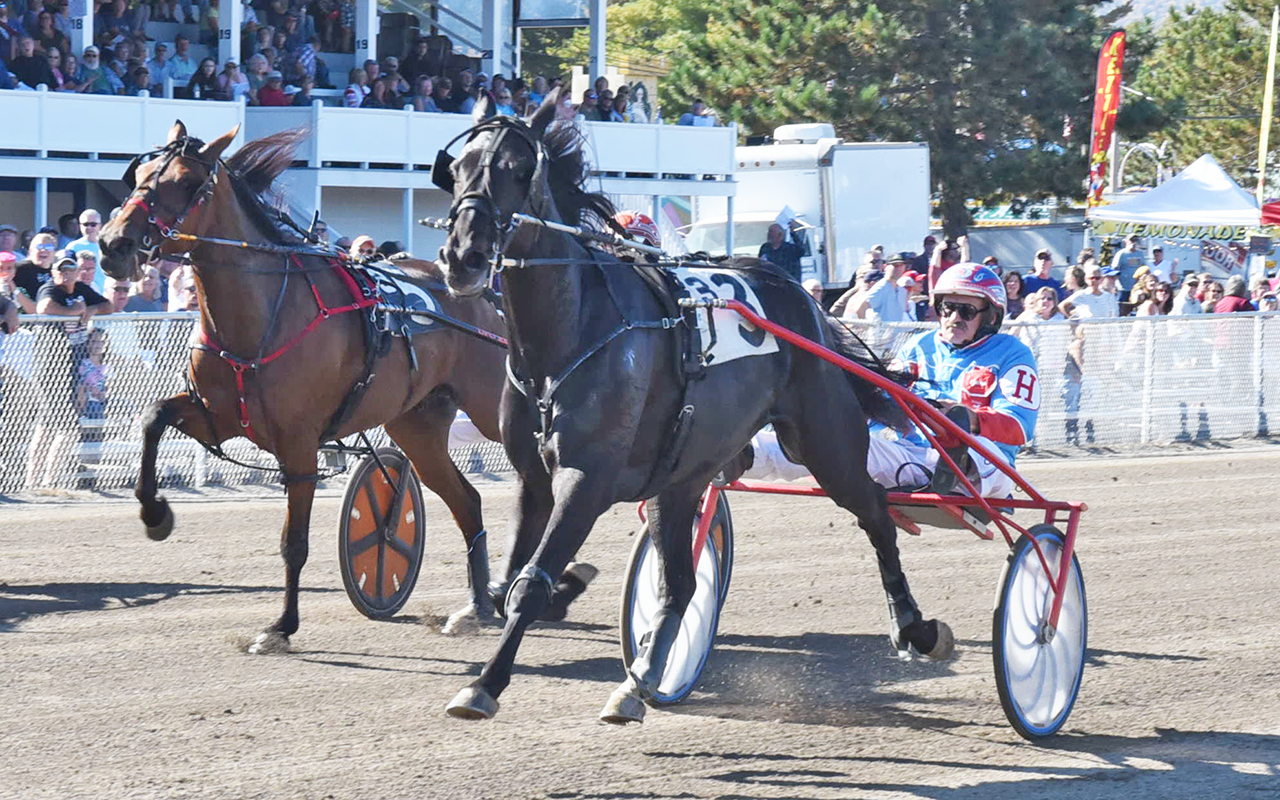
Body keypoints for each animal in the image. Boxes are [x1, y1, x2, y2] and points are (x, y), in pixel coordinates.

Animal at [96, 121, 576, 650]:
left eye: (184, 181)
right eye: (139, 175)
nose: (113, 244)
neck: (264, 312)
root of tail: (482, 292)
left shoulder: (299, 444)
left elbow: (294, 543)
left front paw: (281, 627)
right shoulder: (219, 417)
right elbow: (152, 417)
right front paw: (155, 514)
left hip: (495, 409)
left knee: (542, 481)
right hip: (418, 426)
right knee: (467, 501)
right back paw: (475, 606)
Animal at [437, 90, 952, 721]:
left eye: (516, 170)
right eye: (459, 167)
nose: (463, 256)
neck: (569, 335)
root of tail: (803, 298)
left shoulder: (586, 478)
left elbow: (530, 583)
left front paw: (483, 684)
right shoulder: (534, 478)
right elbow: (514, 579)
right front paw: (525, 608)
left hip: (825, 443)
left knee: (876, 512)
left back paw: (915, 627)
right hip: (682, 475)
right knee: (680, 583)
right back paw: (640, 681)